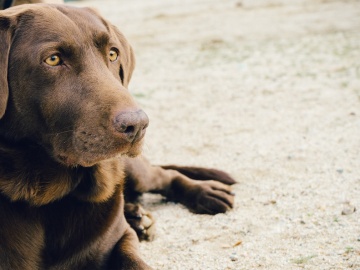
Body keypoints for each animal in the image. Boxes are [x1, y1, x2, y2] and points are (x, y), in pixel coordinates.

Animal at [0, 3, 236, 268]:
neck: (47, 197)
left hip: (134, 170)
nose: (138, 125)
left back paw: (204, 192)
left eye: (113, 54)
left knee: (164, 175)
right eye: (53, 59)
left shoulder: (119, 239)